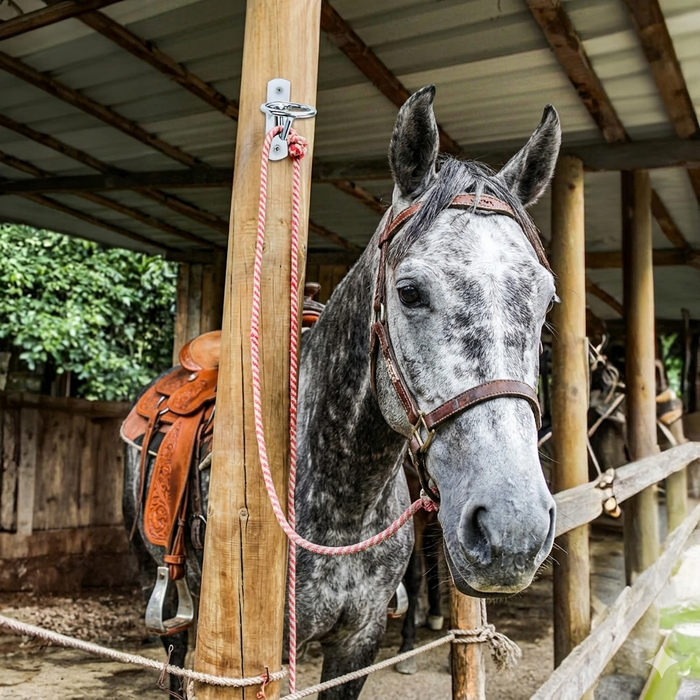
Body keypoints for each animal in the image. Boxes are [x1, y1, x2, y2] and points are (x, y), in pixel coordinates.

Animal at [122, 85, 561, 699]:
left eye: (548, 301)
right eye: (409, 291)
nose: (513, 527)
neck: (344, 500)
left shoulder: (358, 640)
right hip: (171, 604)